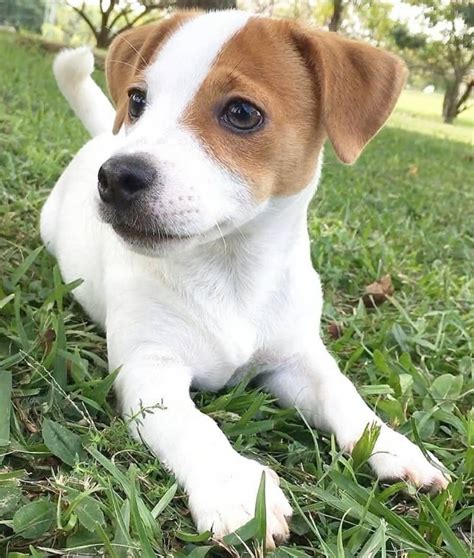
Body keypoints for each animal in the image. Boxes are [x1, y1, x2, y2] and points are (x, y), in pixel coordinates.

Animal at [40, 9, 448, 552]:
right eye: (137, 100)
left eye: (241, 113)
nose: (115, 177)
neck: (230, 272)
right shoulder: (149, 370)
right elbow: (195, 426)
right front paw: (234, 487)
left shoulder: (297, 360)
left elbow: (343, 394)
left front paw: (393, 445)